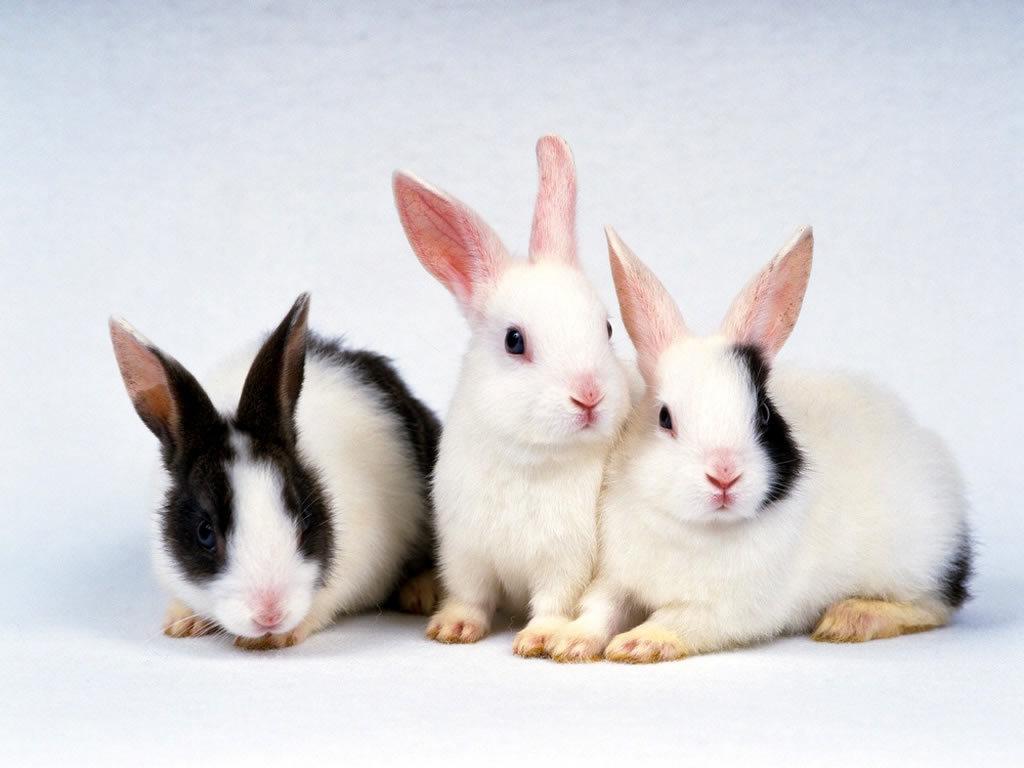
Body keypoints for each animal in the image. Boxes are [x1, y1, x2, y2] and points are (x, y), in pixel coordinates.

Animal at [110, 293, 441, 649]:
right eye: (204, 533)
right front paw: (181, 622)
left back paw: (421, 594)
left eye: (305, 518)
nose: (270, 615)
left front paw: (278, 636)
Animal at [392, 136, 633, 656]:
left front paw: (540, 639)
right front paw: (453, 629)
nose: (589, 396)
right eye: (514, 341)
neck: (529, 457)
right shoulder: (466, 552)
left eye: (606, 329)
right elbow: (470, 595)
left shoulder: (565, 561)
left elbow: (554, 602)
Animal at [546, 226, 972, 663]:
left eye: (764, 415)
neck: (696, 528)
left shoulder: (725, 610)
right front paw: (570, 642)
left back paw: (850, 618)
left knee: (934, 606)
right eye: (665, 418)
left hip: (917, 563)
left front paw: (638, 644)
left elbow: (676, 619)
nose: (724, 475)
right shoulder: (616, 577)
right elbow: (600, 608)